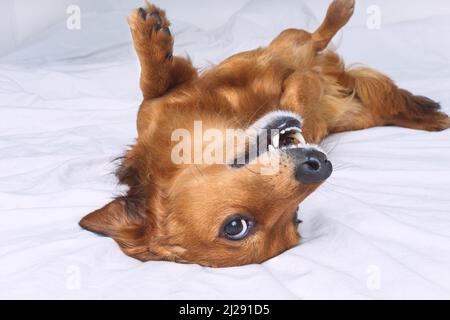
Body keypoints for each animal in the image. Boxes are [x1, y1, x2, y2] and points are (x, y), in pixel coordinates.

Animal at [79, 0, 448, 268]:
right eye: (236, 227)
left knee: (317, 37)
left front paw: (152, 39)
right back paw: (426, 113)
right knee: (381, 98)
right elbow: (304, 97)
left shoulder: (166, 98)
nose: (320, 167)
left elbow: (153, 83)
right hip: (355, 112)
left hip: (288, 39)